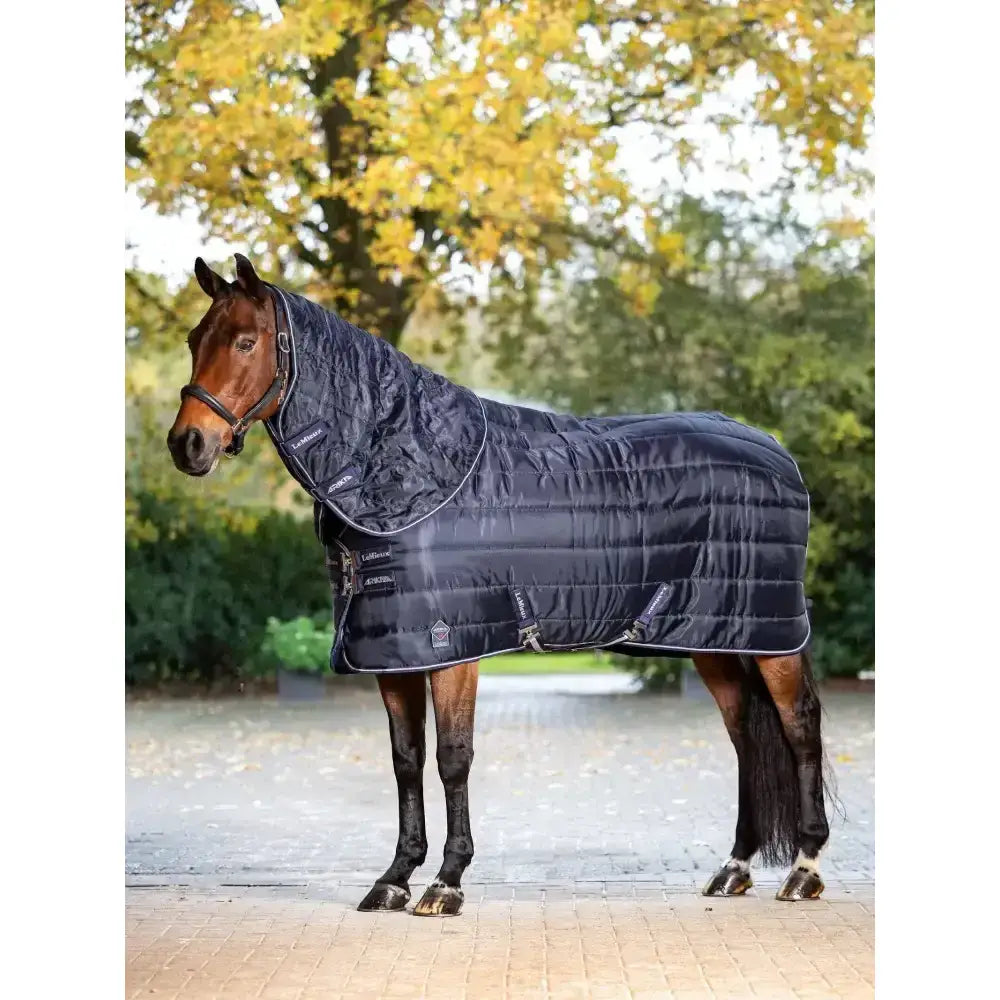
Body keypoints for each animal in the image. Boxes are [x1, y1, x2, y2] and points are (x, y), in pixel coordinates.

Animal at [167, 254, 832, 917]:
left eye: (245, 341)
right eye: (195, 340)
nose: (187, 444)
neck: (412, 471)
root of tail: (777, 453)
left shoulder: (453, 647)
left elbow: (452, 759)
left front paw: (446, 881)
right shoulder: (393, 652)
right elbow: (406, 761)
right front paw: (394, 878)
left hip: (771, 633)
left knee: (799, 728)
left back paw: (804, 869)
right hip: (713, 636)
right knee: (744, 734)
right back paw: (735, 867)